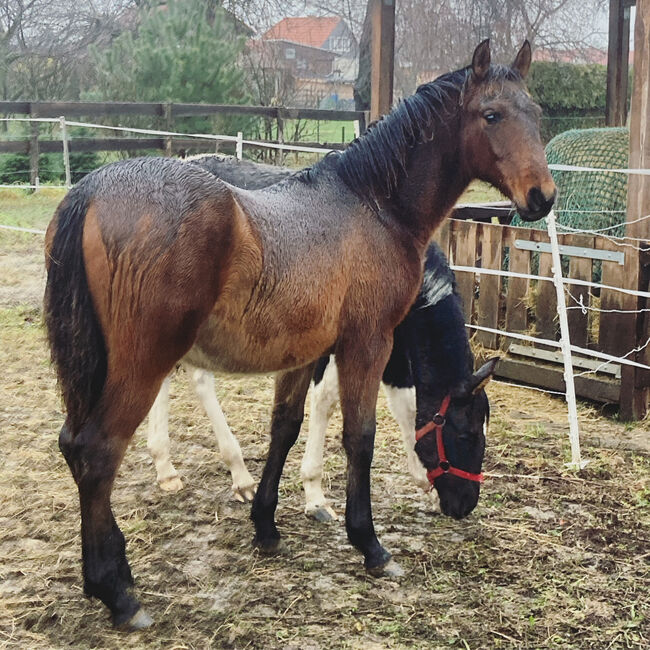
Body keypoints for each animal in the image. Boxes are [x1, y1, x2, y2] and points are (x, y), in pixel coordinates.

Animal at [146, 152, 492, 516]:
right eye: (467, 434)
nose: (465, 503)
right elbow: (326, 399)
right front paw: (314, 493)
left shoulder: (392, 348)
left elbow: (405, 404)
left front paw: (421, 478)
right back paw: (237, 474)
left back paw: (166, 468)